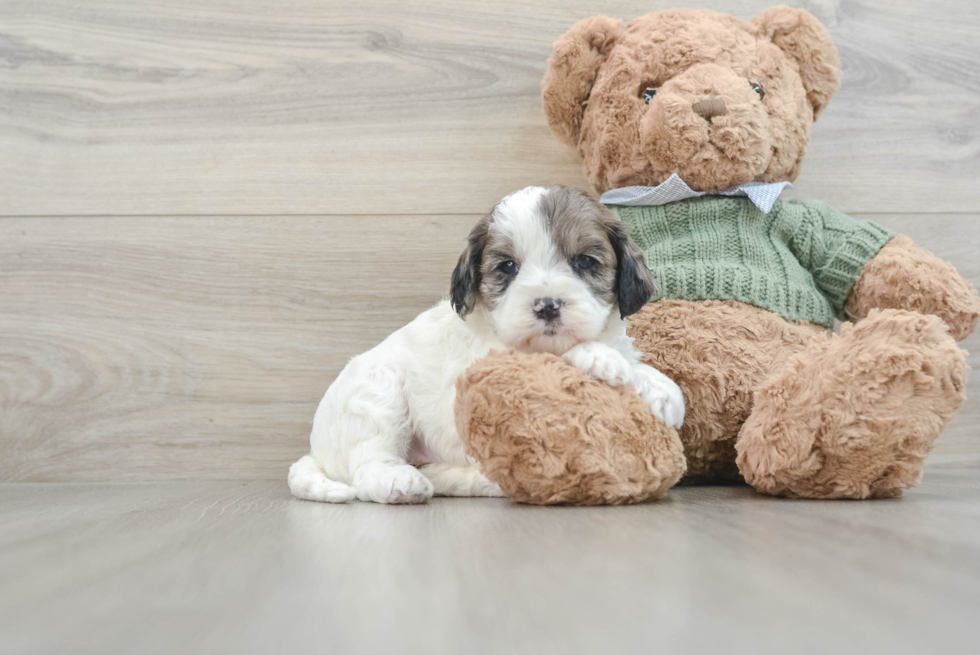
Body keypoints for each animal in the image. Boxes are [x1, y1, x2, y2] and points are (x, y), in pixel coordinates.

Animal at [288, 187, 684, 504]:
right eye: (508, 267)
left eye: (584, 261)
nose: (547, 305)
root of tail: (315, 453)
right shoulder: (484, 364)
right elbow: (549, 354)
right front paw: (599, 356)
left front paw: (659, 386)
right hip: (377, 395)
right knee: (367, 465)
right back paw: (398, 481)